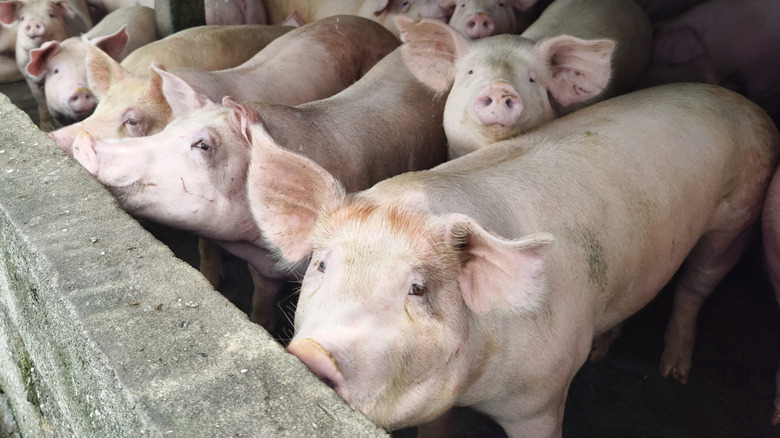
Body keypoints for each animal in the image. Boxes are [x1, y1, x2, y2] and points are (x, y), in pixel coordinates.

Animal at [67, 47, 448, 332]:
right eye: (169, 128)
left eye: (203, 145)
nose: (83, 141)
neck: (259, 246)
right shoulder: (264, 268)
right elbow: (261, 300)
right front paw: (258, 321)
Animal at [245, 82, 779, 437]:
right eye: (322, 265)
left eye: (417, 288)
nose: (313, 354)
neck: (477, 386)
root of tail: (739, 99)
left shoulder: (544, 396)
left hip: (738, 212)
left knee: (695, 286)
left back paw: (674, 372)